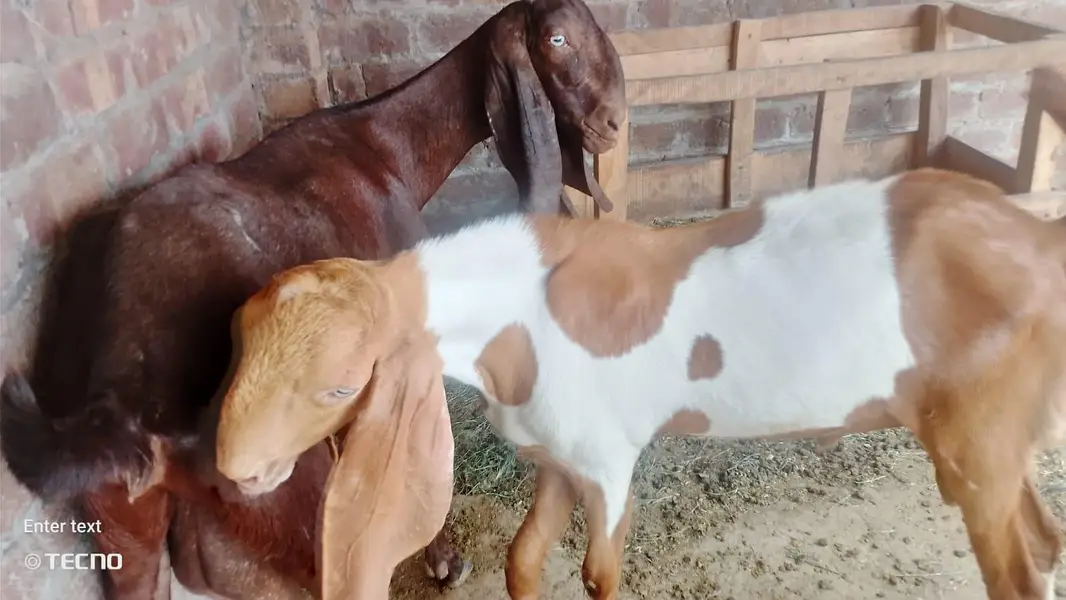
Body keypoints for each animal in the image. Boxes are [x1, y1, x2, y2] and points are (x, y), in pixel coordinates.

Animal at [0, 0, 625, 598]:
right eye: (556, 38)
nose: (613, 122)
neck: (382, 150)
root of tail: (121, 411)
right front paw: (443, 559)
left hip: (133, 534)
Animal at [212, 168, 1066, 600]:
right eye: (236, 346)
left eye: (337, 386)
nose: (235, 470)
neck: (524, 312)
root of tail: (1035, 236)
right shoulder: (555, 460)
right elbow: (524, 562)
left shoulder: (607, 462)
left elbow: (599, 574)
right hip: (990, 441)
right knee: (1044, 539)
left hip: (978, 443)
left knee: (1019, 572)